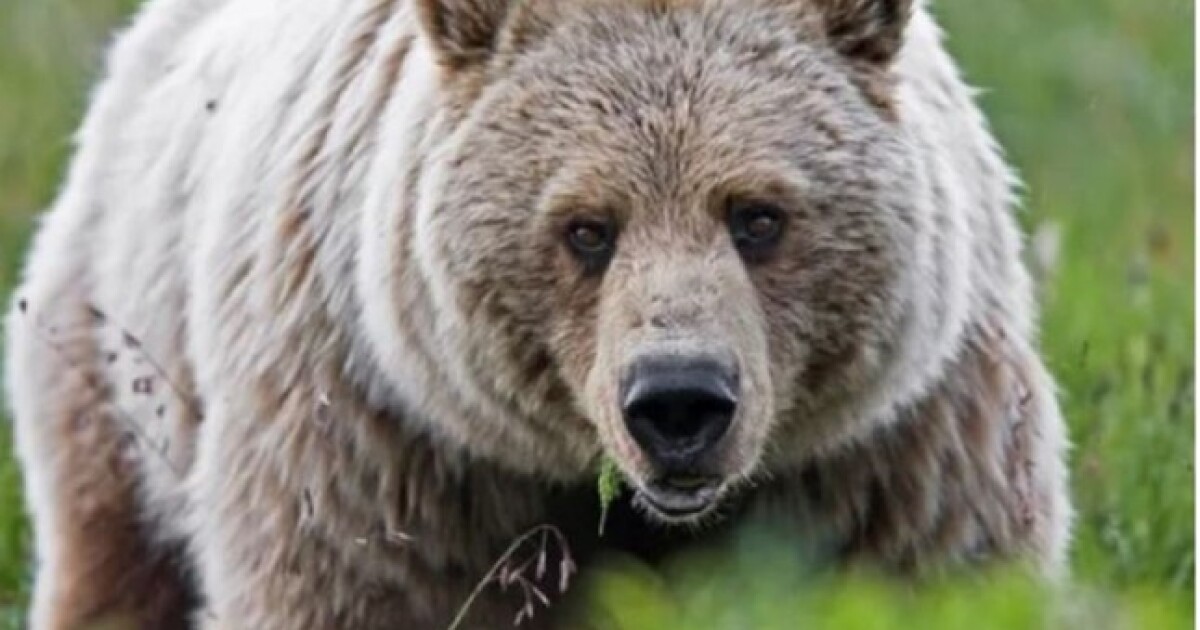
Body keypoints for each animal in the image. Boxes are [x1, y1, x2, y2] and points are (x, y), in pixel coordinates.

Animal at [4, 0, 1072, 627]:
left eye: (759, 215)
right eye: (586, 228)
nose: (679, 401)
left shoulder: (895, 452)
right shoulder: (382, 451)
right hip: (117, 364)